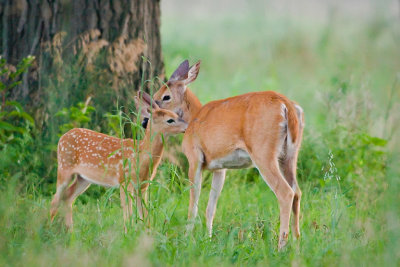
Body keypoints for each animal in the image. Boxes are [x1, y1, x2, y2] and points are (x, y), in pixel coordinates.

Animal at [50, 92, 188, 230]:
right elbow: (128, 212)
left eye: (177, 115)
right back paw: (49, 227)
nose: (187, 126)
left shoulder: (143, 186)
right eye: (170, 120)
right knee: (55, 199)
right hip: (64, 167)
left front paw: (147, 232)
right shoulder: (124, 181)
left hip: (83, 178)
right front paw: (128, 232)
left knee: (67, 197)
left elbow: (145, 215)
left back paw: (70, 231)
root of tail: (62, 137)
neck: (141, 156)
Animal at [152, 60, 304, 249]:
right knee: (297, 192)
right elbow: (210, 208)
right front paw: (208, 239)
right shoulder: (220, 168)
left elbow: (193, 204)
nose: (151, 107)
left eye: (166, 96)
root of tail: (286, 105)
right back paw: (297, 244)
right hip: (289, 155)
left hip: (263, 153)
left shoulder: (194, 159)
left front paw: (187, 239)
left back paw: (281, 246)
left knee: (285, 193)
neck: (194, 117)